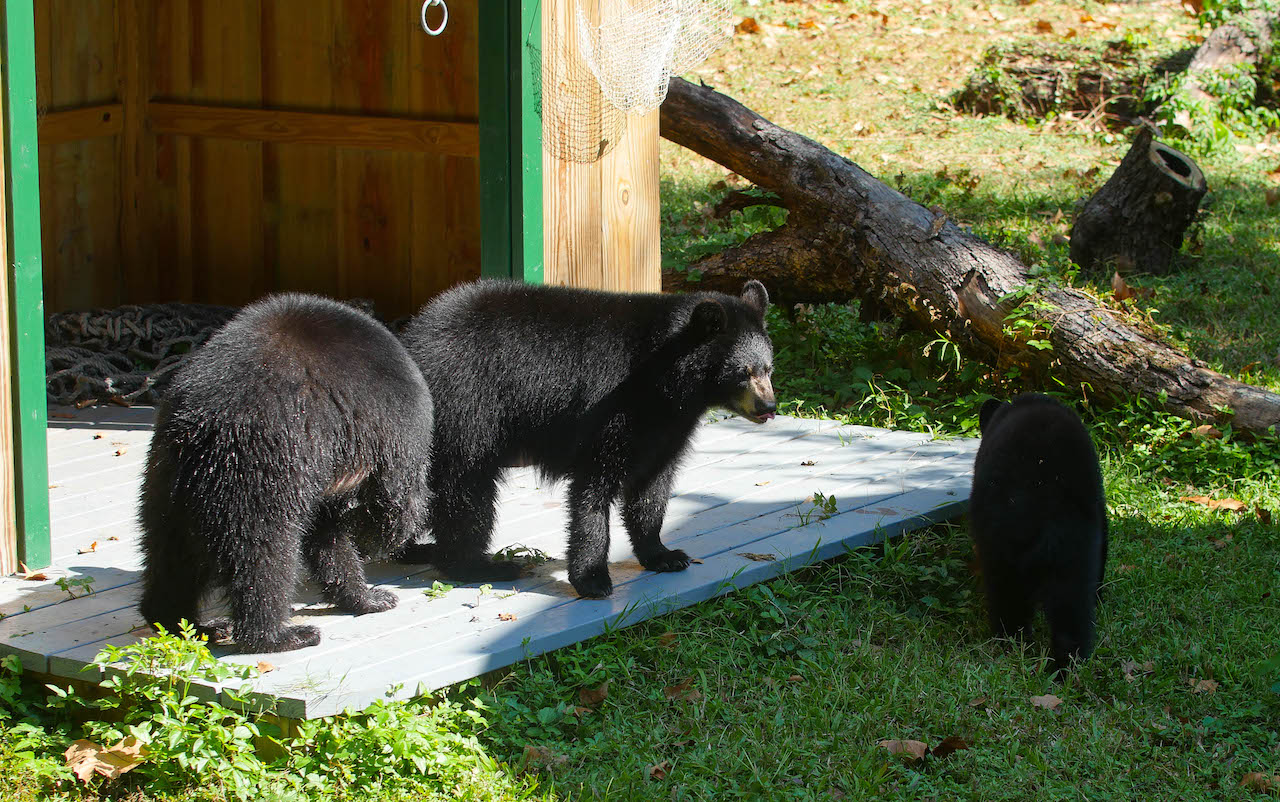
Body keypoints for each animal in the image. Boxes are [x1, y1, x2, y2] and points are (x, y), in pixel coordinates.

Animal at [138, 293, 434, 653]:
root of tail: (198, 428)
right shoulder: (386, 427)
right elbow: (394, 497)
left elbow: (326, 533)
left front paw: (364, 595)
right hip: (255, 471)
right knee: (264, 556)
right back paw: (280, 634)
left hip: (165, 481)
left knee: (169, 554)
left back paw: (184, 621)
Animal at [395, 279, 776, 599]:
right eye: (743, 372)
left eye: (768, 368)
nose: (769, 407)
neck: (666, 380)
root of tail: (412, 338)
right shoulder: (610, 408)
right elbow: (593, 488)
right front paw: (593, 578)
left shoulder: (667, 425)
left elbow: (651, 489)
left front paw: (663, 555)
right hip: (466, 407)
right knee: (465, 491)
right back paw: (479, 565)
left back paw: (416, 549)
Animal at [969, 392, 1109, 673]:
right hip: (1072, 546)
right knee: (1071, 606)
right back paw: (1066, 665)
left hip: (1002, 537)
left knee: (1007, 591)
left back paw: (1011, 641)